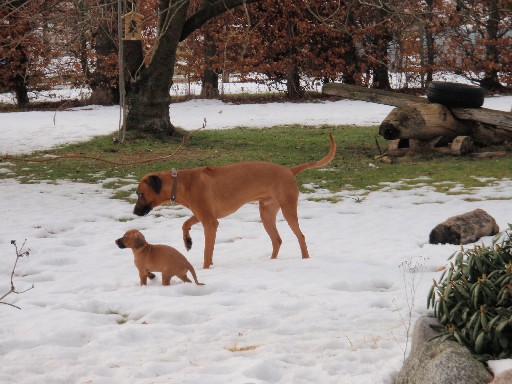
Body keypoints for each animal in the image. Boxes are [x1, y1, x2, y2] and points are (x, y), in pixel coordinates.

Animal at [134, 134, 338, 268]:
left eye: (140, 194)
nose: (134, 213)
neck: (182, 182)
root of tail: (289, 171)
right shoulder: (202, 214)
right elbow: (185, 224)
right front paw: (187, 241)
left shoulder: (210, 222)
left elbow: (207, 251)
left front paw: (206, 268)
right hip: (266, 213)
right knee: (277, 240)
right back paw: (271, 262)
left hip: (288, 209)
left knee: (300, 236)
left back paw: (305, 261)